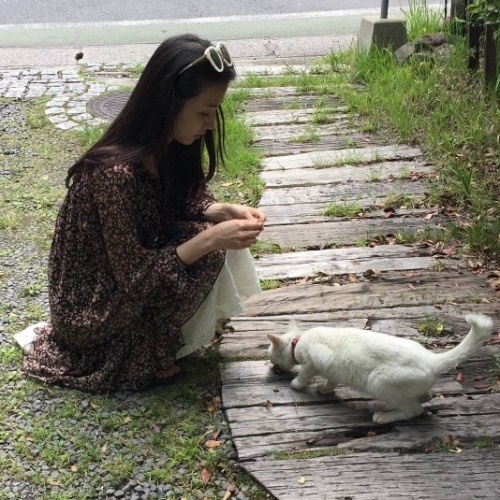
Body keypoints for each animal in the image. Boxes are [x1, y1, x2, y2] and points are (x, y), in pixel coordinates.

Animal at [268, 314, 494, 424]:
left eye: (270, 355)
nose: (271, 367)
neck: (299, 341)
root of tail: (431, 359)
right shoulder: (332, 369)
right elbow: (331, 381)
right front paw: (324, 389)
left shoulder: (312, 362)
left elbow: (305, 374)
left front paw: (296, 384)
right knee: (425, 396)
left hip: (377, 381)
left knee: (414, 409)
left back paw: (383, 416)